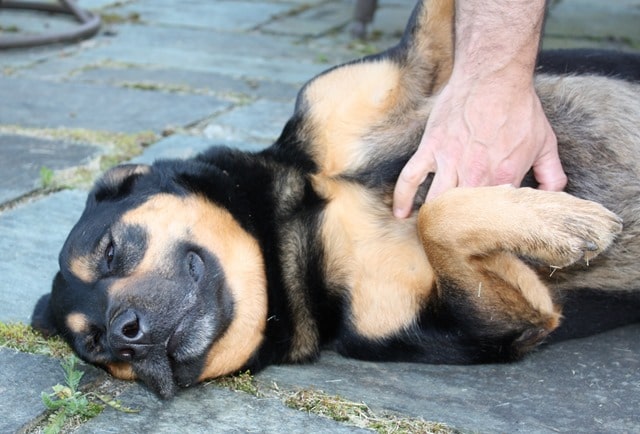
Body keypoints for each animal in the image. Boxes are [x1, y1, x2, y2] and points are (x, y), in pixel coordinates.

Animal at [31, 0, 640, 398]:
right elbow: (438, 217)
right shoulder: (499, 323)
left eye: (110, 251)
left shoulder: (420, 65)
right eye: (99, 350)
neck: (304, 234)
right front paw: (562, 224)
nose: (126, 335)